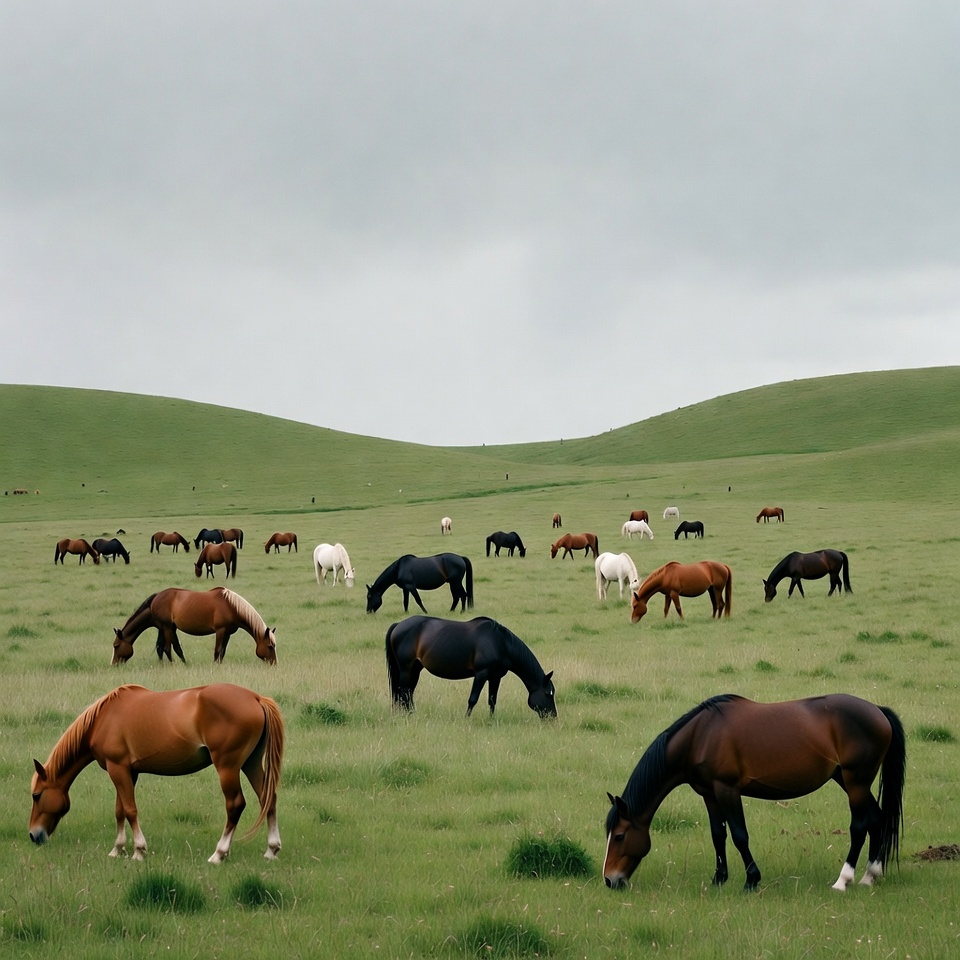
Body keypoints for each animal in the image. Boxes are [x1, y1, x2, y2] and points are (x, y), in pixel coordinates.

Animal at [29, 683, 284, 863]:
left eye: (36, 795)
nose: (33, 835)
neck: (104, 718)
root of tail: (256, 698)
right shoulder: (127, 772)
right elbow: (120, 810)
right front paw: (117, 849)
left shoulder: (117, 768)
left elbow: (130, 810)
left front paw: (139, 851)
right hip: (250, 763)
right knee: (267, 798)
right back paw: (271, 850)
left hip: (228, 767)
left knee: (235, 805)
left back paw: (219, 854)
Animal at [112, 587, 277, 664]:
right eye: (270, 646)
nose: (274, 664)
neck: (231, 605)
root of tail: (157, 596)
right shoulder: (220, 631)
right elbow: (217, 651)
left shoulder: (228, 633)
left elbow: (222, 652)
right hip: (166, 627)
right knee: (167, 648)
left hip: (167, 627)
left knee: (165, 648)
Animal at [385, 616, 556, 718]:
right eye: (548, 694)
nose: (553, 716)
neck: (499, 643)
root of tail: (398, 625)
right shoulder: (481, 674)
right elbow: (473, 699)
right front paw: (466, 719)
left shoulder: (495, 677)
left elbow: (492, 700)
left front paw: (492, 720)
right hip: (406, 669)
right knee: (402, 691)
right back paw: (407, 715)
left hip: (415, 669)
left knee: (408, 692)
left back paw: (412, 713)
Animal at [604, 693, 905, 892]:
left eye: (619, 836)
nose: (609, 880)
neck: (700, 736)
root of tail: (878, 711)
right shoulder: (709, 794)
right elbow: (718, 835)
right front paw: (719, 878)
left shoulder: (727, 790)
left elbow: (739, 836)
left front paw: (751, 879)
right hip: (847, 779)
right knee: (876, 818)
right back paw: (870, 875)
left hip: (856, 782)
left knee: (859, 826)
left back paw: (844, 880)